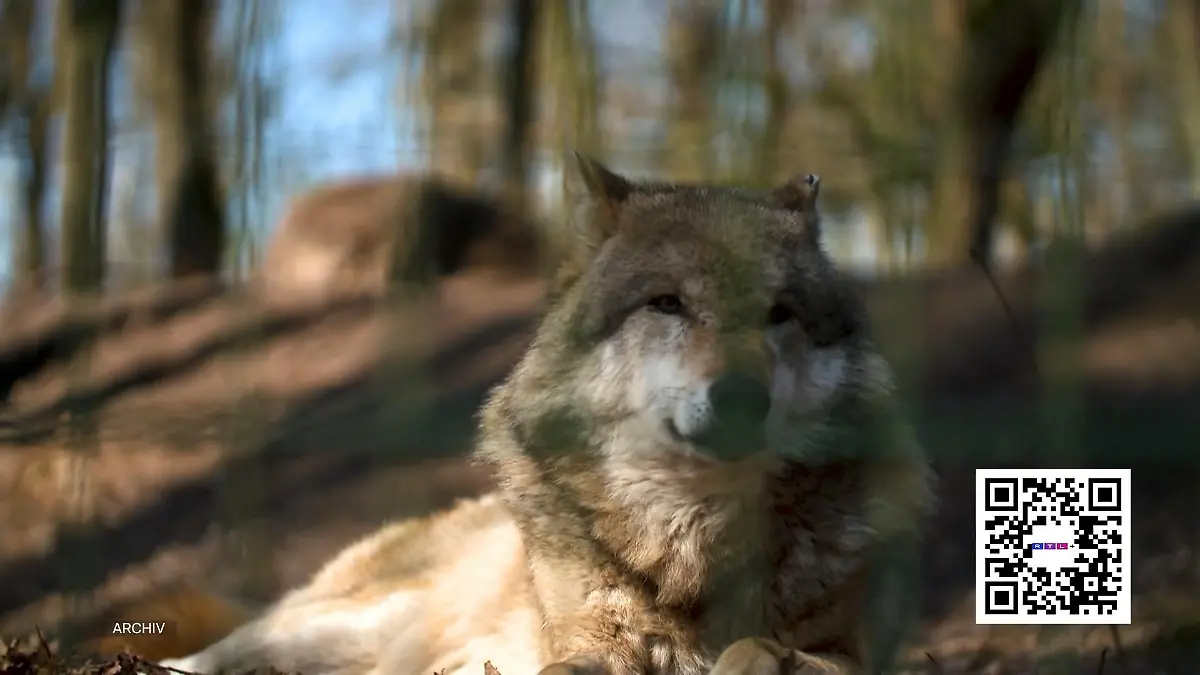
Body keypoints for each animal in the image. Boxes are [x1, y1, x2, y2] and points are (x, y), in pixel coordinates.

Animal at [93, 155, 934, 675]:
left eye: (779, 313)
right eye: (667, 303)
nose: (739, 397)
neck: (694, 541)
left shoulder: (854, 649)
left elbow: (765, 651)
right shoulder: (585, 642)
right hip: (324, 625)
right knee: (193, 657)